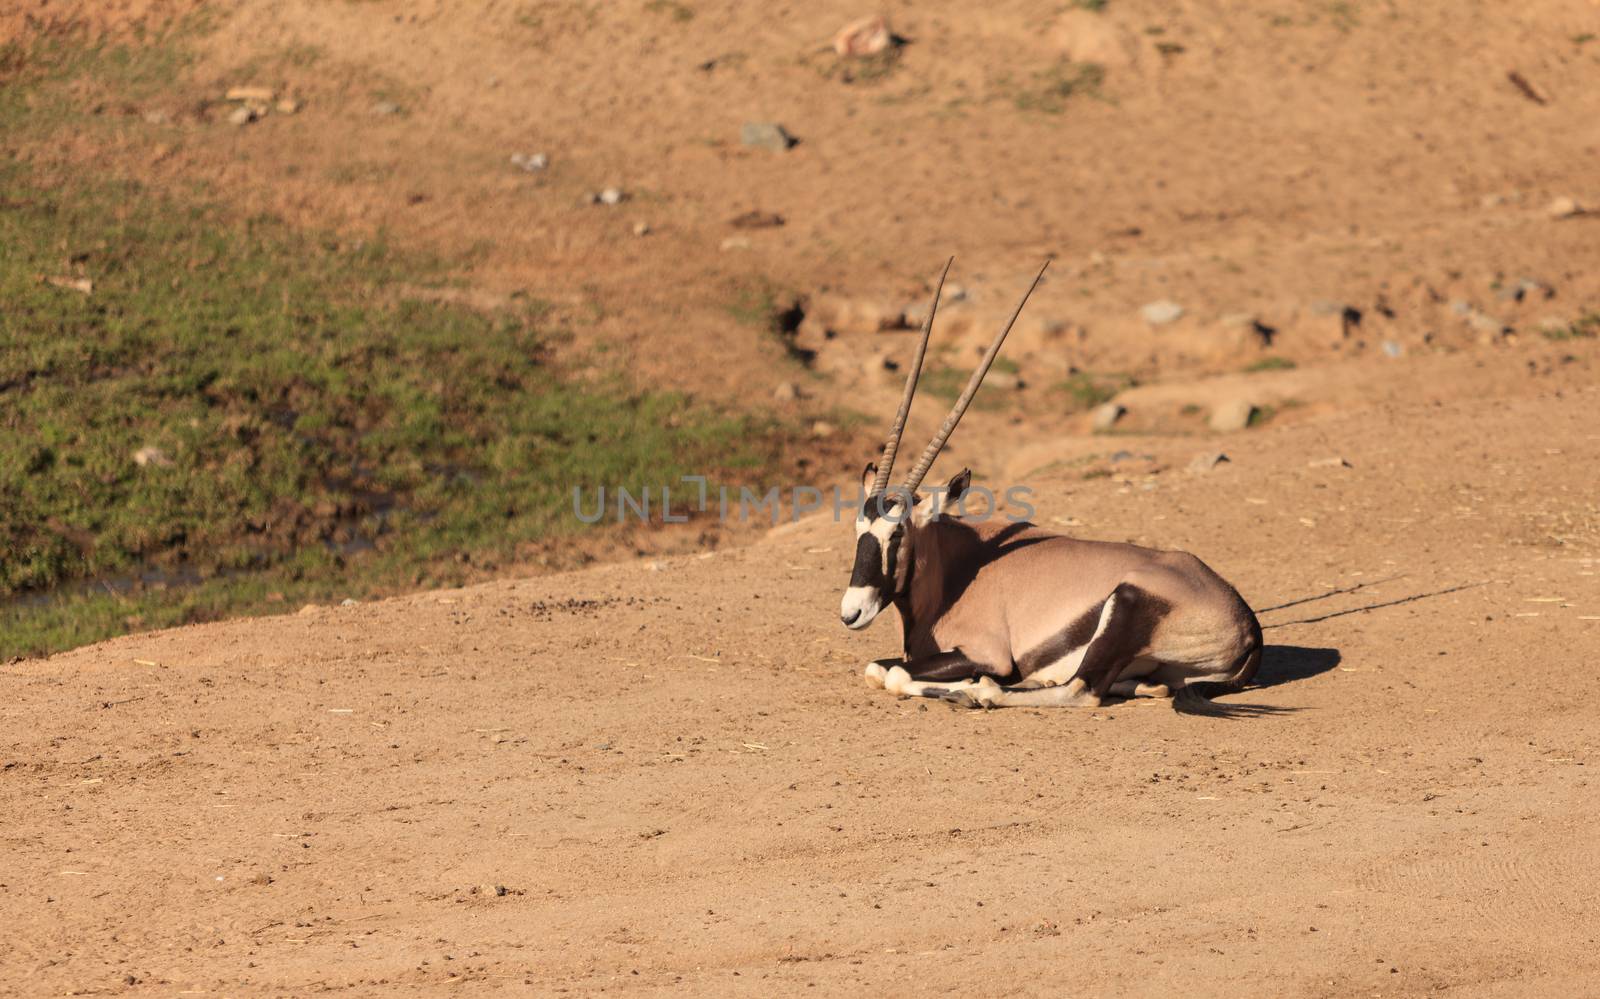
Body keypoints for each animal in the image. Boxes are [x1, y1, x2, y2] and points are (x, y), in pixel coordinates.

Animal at [844, 259, 1267, 710]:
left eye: (897, 534)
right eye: (858, 529)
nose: (851, 613)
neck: (954, 566)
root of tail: (1248, 623)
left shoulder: (986, 653)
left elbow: (894, 675)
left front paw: (971, 686)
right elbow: (877, 668)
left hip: (1125, 604)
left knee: (1081, 690)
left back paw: (979, 692)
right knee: (1142, 685)